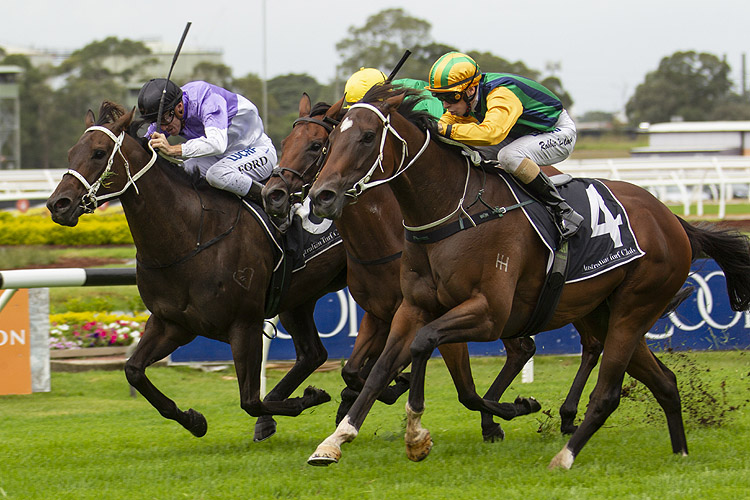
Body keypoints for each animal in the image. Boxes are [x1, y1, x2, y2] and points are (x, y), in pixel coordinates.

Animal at [262, 94, 604, 450]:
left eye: (318, 145)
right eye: (285, 143)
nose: (273, 194)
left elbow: (459, 386)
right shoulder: (381, 312)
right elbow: (356, 371)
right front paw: (370, 395)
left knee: (573, 344)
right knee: (545, 346)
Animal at [306, 85, 750, 468]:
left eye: (367, 137)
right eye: (330, 142)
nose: (321, 196)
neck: (452, 210)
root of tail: (673, 219)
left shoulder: (489, 313)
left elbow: (424, 344)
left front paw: (417, 434)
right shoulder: (411, 307)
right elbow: (379, 370)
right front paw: (334, 440)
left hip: (634, 307)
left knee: (607, 392)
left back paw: (565, 456)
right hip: (608, 312)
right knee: (665, 382)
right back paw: (680, 452)